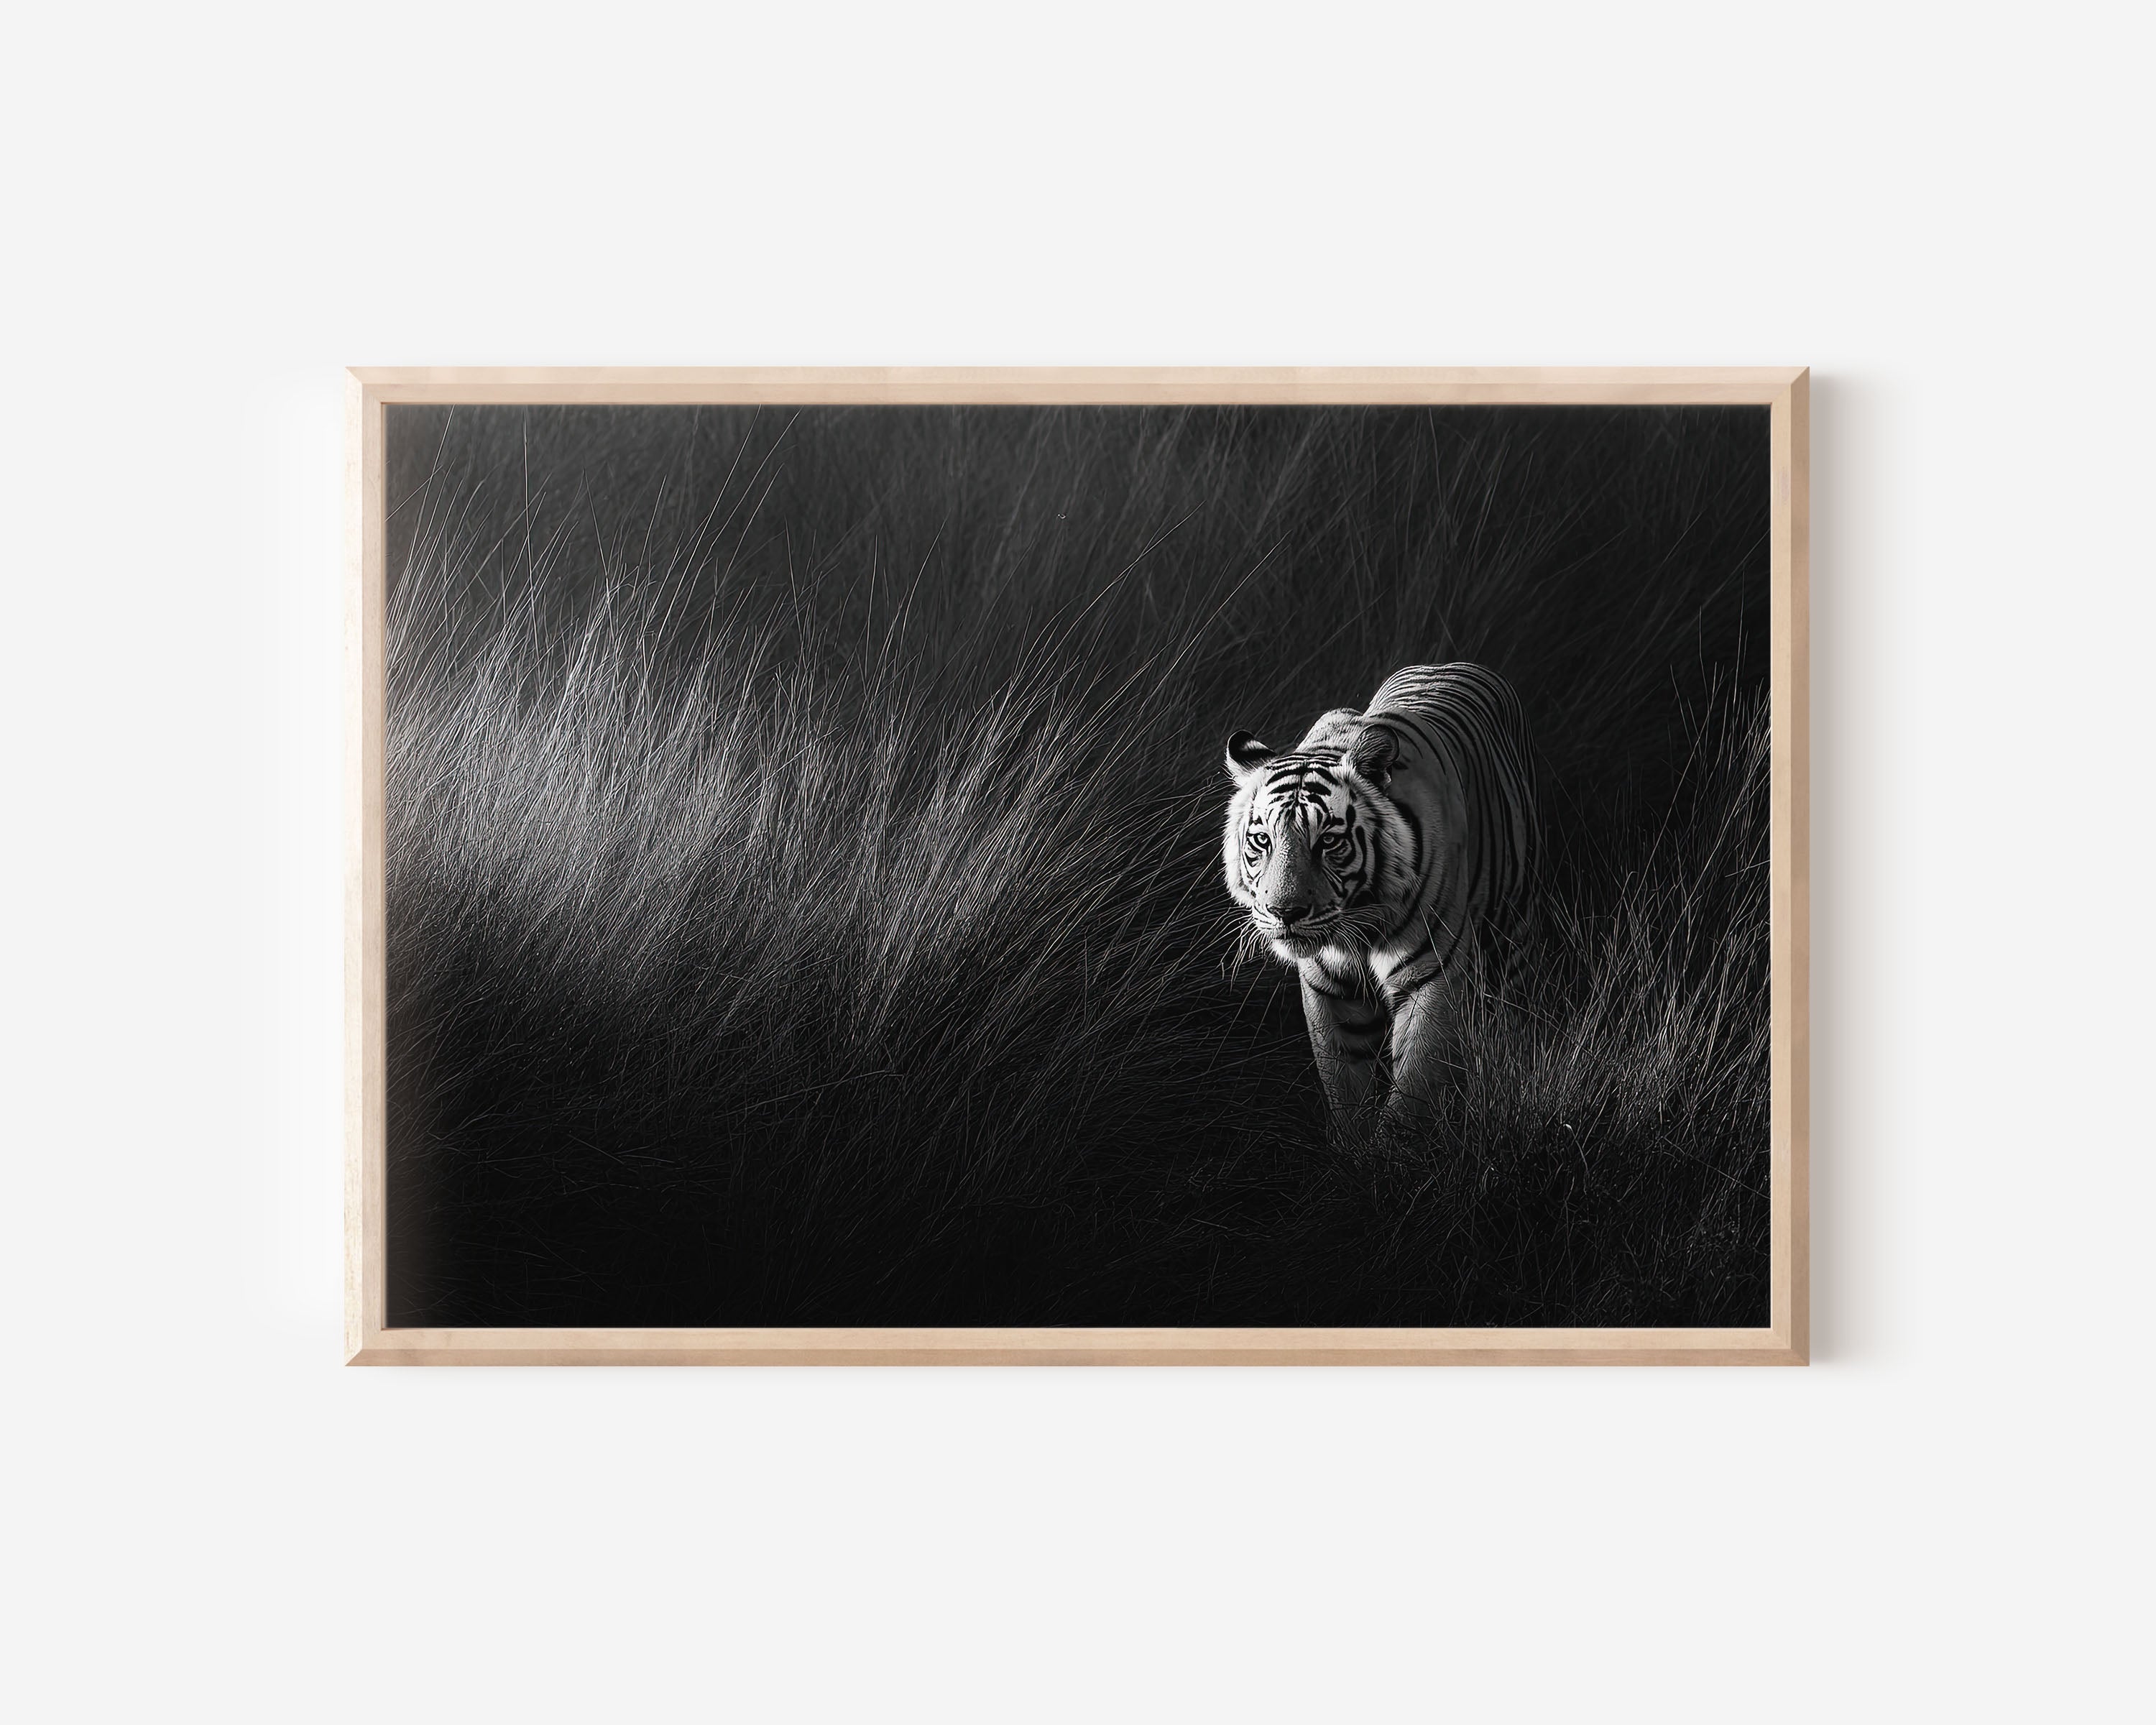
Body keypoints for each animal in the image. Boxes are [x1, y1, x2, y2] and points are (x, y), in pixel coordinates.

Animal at [1222, 662, 1537, 1137]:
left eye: (1328, 841)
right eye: (1262, 840)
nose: (1284, 913)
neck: (1358, 925)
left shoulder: (1432, 976)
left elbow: (1415, 1090)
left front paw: (1394, 1152)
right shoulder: (1326, 988)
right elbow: (1345, 1086)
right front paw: (1353, 1150)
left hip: (1511, 930)